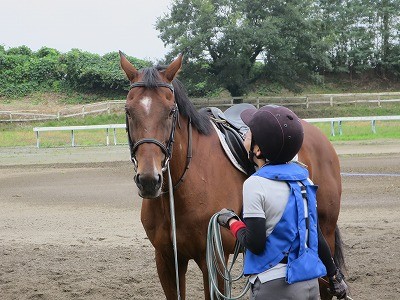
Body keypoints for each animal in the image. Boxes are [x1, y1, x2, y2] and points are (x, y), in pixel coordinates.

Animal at [120, 52, 346, 298]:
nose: (149, 180)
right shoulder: (167, 259)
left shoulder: (213, 261)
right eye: (128, 111)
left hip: (324, 228)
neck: (180, 190)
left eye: (171, 111)